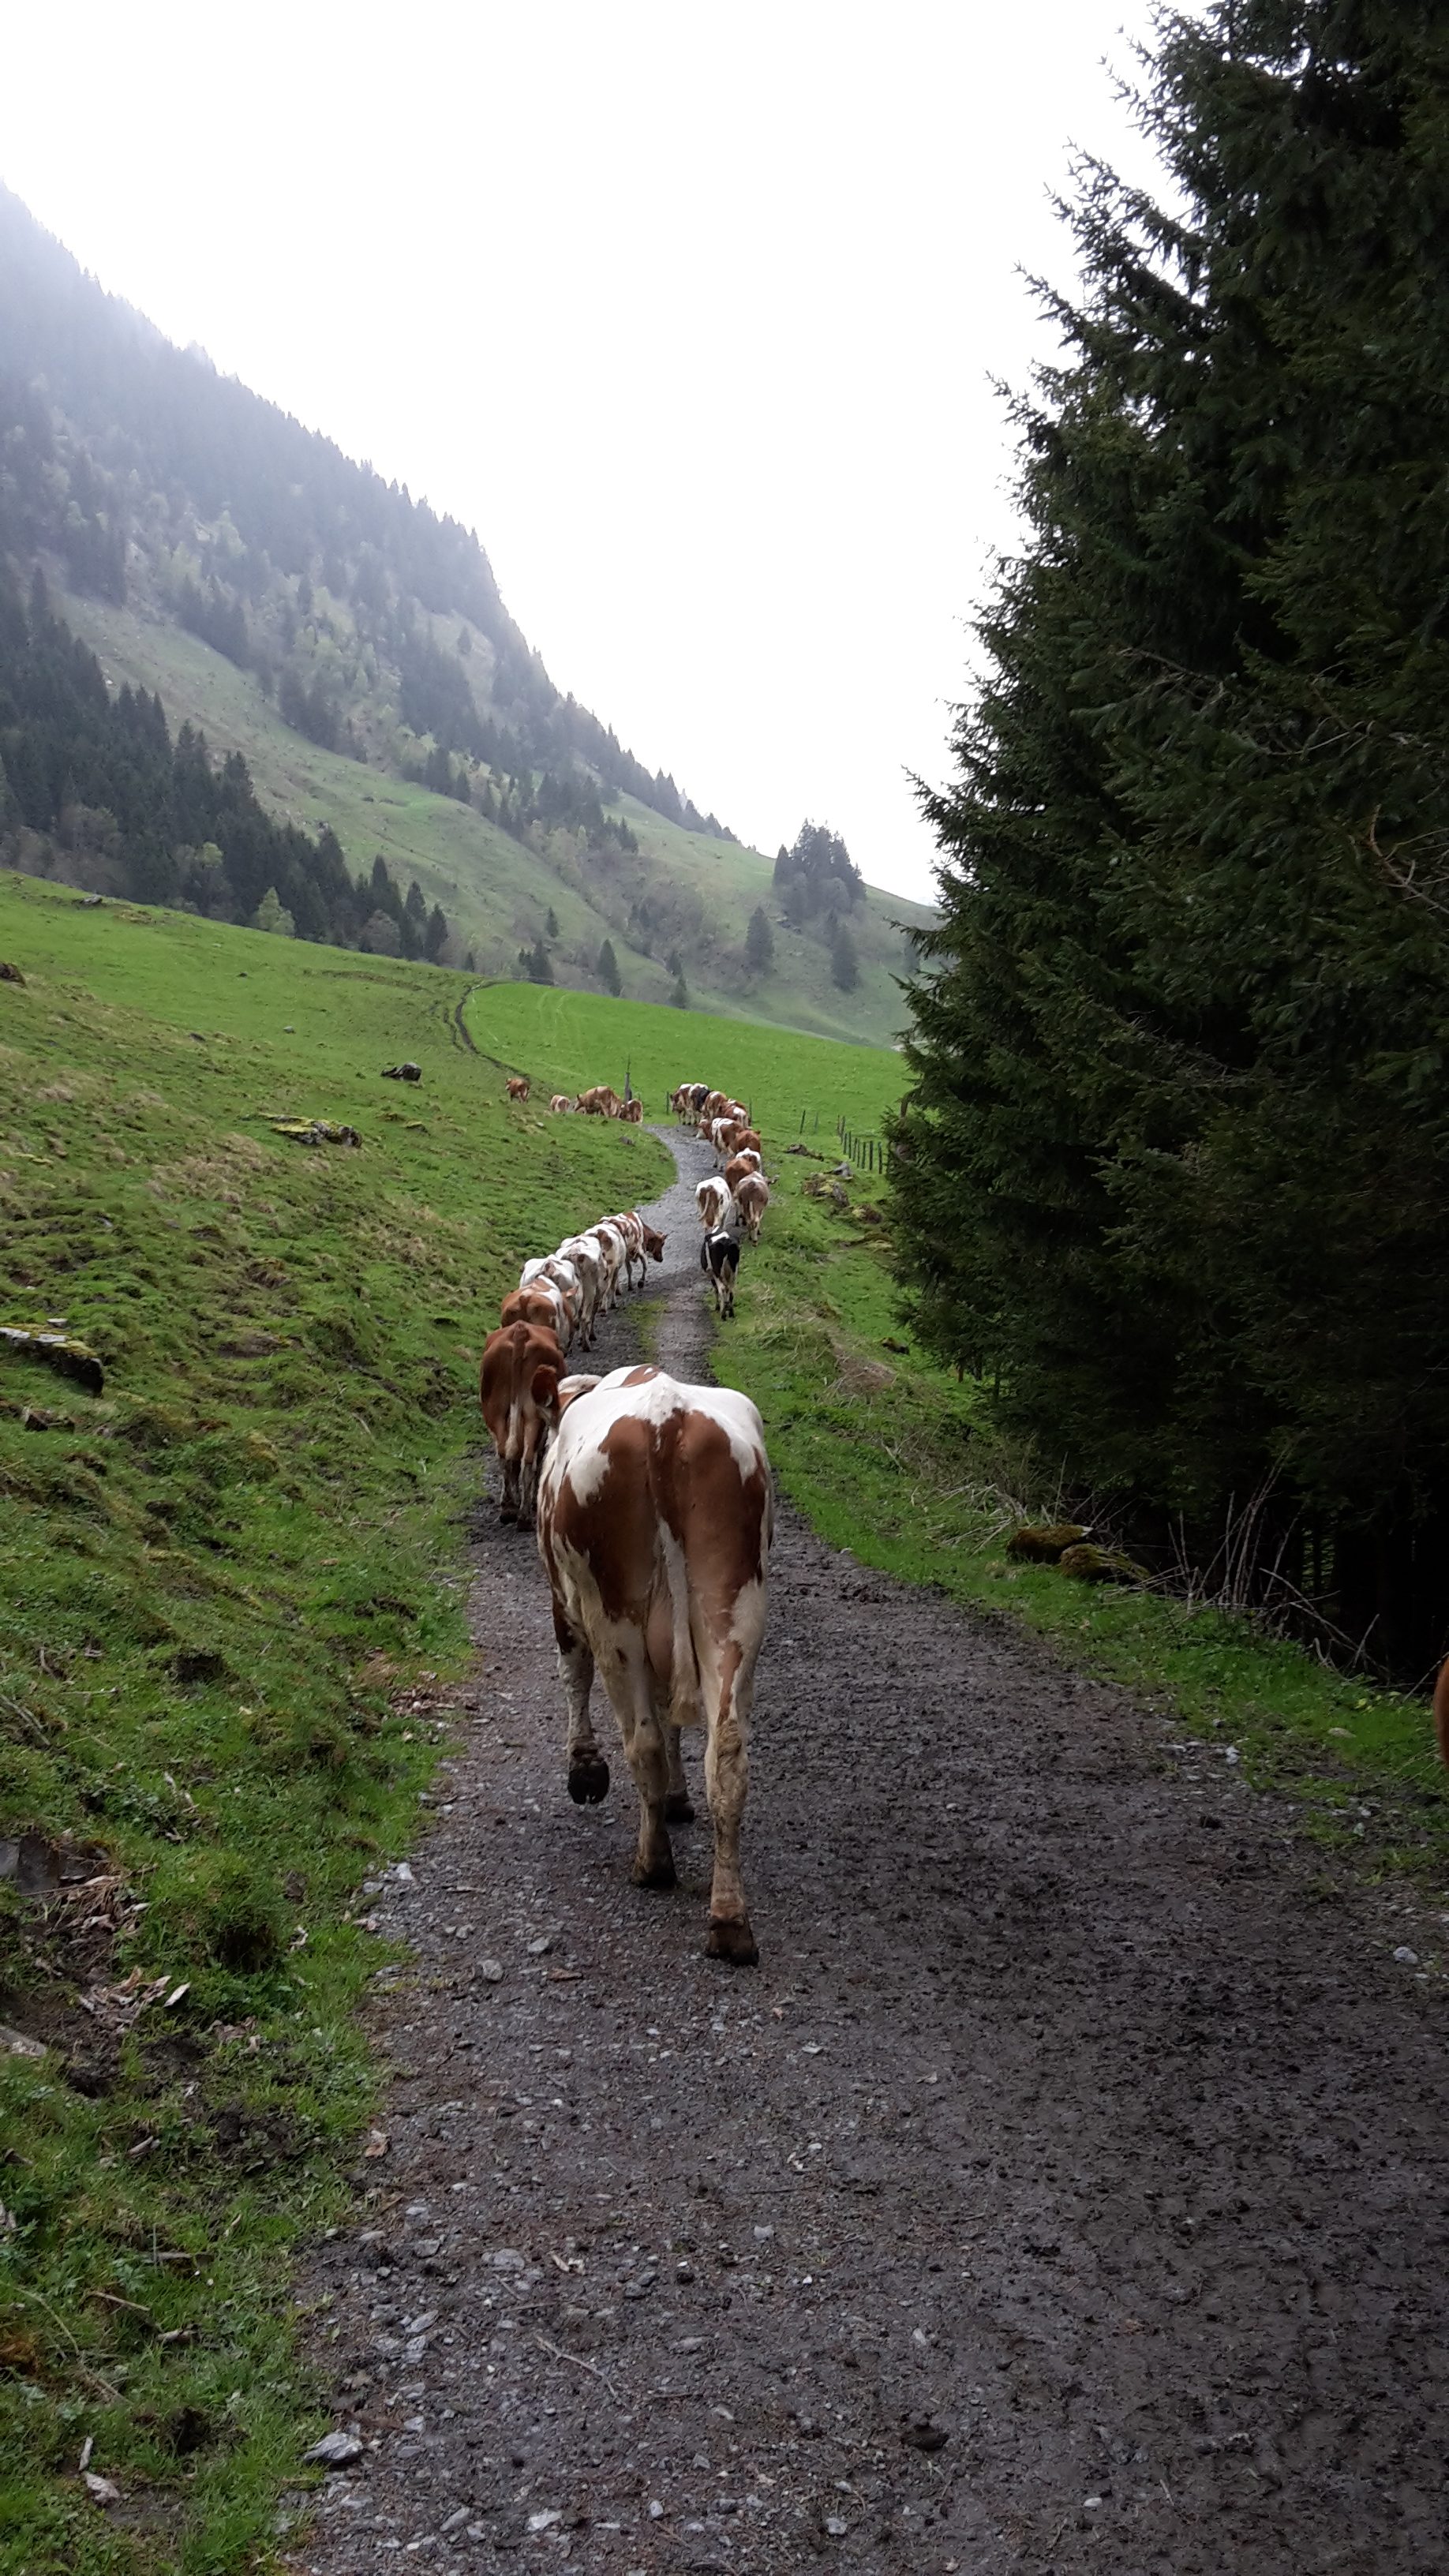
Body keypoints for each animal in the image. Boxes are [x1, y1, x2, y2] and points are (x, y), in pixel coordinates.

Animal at [477, 1319, 562, 1515]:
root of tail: (520, 1329)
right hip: (533, 1414)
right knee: (528, 1459)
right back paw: (524, 1513)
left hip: (495, 1411)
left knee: (505, 1455)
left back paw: (508, 1507)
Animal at [530, 1360, 773, 1957]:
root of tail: (666, 1419)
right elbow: (674, 1724)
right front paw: (679, 1797)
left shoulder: (564, 1603)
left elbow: (574, 1674)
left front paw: (585, 1769)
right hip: (734, 1608)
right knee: (727, 1752)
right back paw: (728, 1920)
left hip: (614, 1615)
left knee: (640, 1739)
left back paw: (653, 1862)